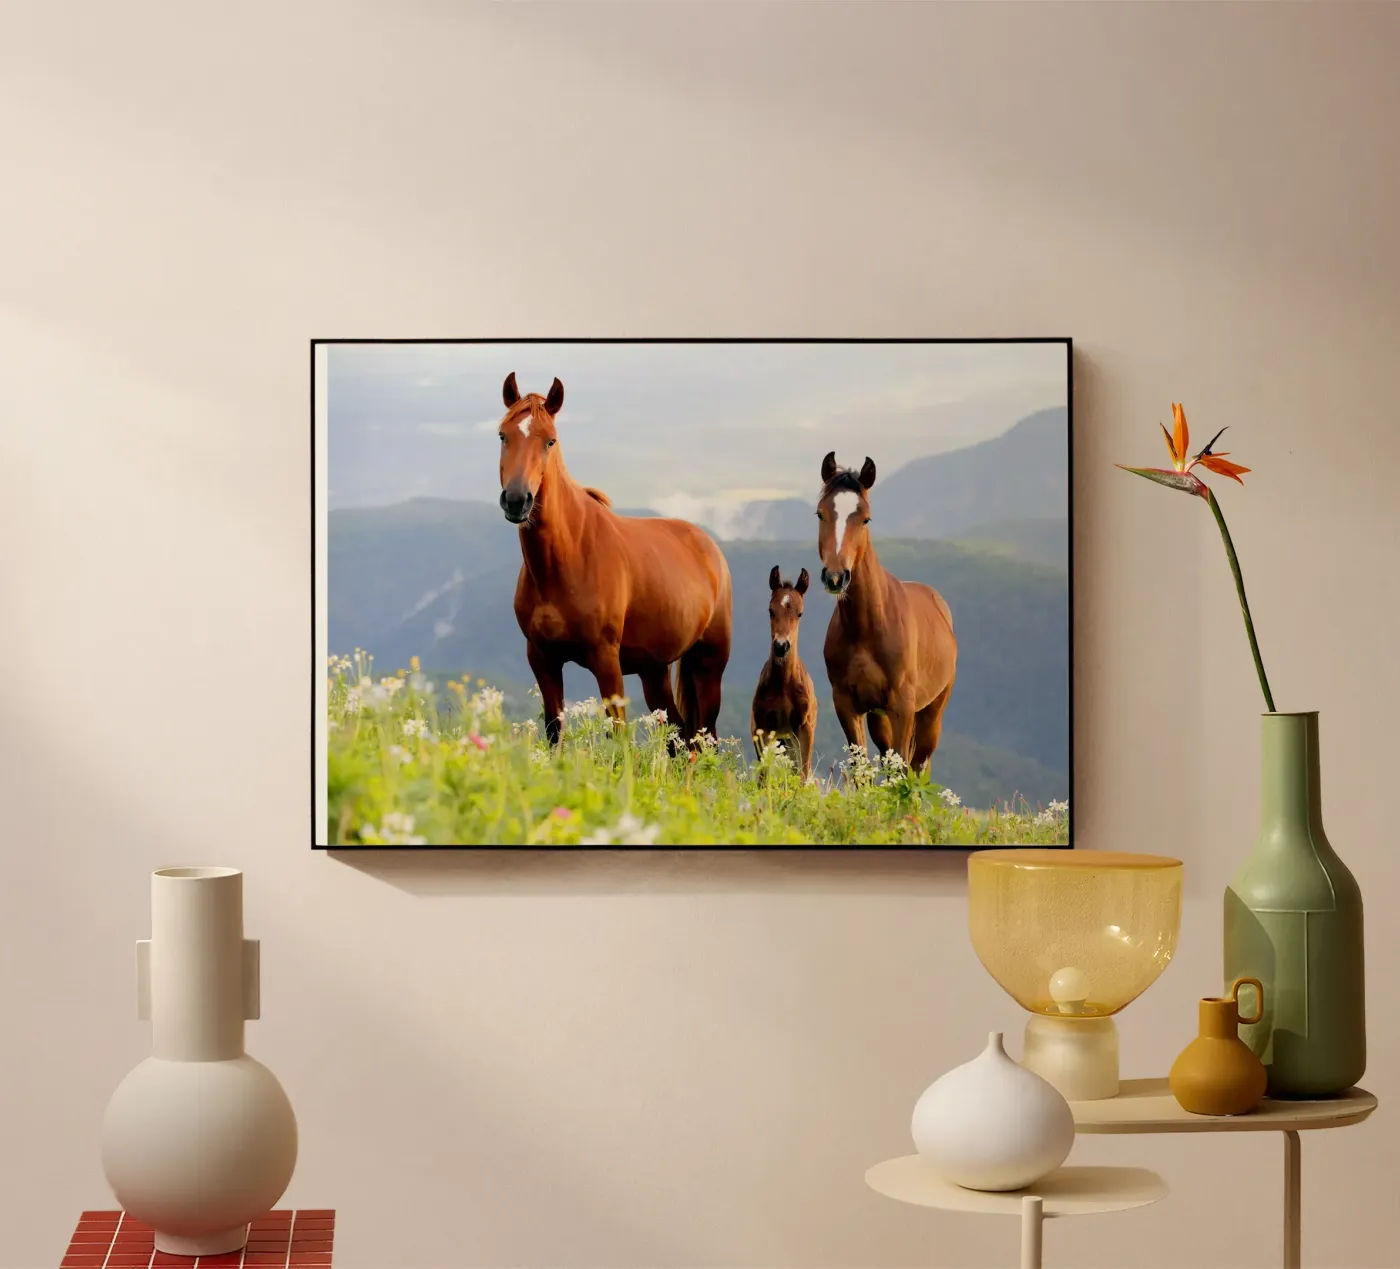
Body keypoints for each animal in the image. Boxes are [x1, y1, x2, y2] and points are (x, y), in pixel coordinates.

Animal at [496, 372, 732, 746]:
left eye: (550, 441)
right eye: (503, 435)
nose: (518, 500)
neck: (566, 561)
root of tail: (709, 547)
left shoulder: (606, 660)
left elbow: (619, 738)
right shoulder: (542, 658)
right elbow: (554, 730)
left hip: (709, 664)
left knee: (703, 737)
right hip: (654, 671)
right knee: (678, 736)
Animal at [749, 566, 818, 781]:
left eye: (800, 613)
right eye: (771, 611)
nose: (781, 646)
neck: (783, 686)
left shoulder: (805, 728)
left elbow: (803, 774)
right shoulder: (763, 728)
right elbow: (763, 776)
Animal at [816, 451, 957, 772]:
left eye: (865, 518)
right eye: (820, 514)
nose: (835, 577)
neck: (868, 627)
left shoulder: (902, 706)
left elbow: (903, 766)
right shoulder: (848, 705)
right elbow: (861, 768)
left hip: (932, 713)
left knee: (918, 764)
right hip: (879, 719)